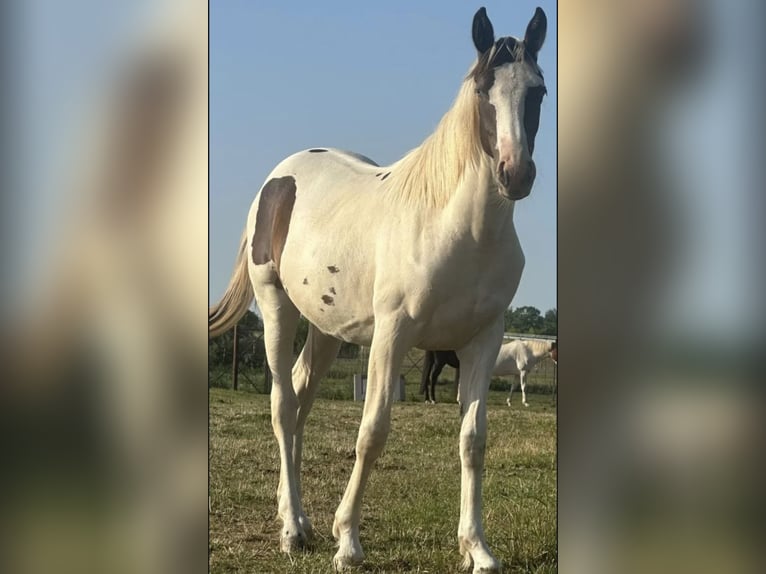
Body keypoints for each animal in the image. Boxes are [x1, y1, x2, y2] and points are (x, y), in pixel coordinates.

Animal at [209, 7, 548, 572]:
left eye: (538, 91)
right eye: (484, 90)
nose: (515, 173)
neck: (458, 227)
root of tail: (278, 180)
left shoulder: (483, 339)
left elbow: (473, 439)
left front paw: (477, 548)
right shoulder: (393, 333)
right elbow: (372, 432)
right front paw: (347, 540)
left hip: (326, 330)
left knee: (300, 400)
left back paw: (296, 517)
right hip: (278, 307)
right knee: (282, 406)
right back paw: (293, 530)